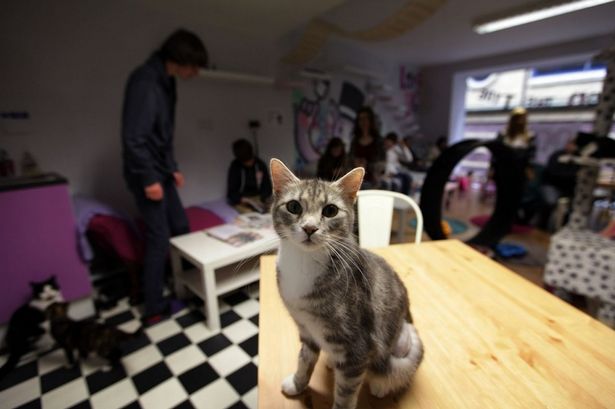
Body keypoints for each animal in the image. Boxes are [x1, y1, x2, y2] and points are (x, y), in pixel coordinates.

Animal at [272, 159, 426, 408]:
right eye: (293, 206)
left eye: (330, 210)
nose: (309, 228)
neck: (304, 262)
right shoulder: (306, 329)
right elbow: (304, 359)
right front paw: (297, 384)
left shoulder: (357, 349)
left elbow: (345, 395)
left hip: (406, 340)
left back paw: (381, 385)